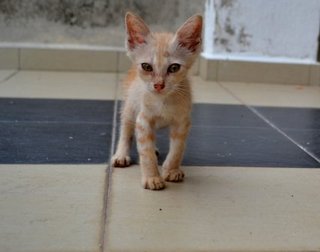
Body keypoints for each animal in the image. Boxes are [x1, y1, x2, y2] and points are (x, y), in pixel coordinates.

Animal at [112, 11, 202, 189]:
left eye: (174, 67)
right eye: (147, 66)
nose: (159, 85)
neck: (163, 101)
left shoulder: (182, 122)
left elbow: (178, 148)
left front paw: (172, 170)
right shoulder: (143, 120)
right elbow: (145, 151)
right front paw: (152, 177)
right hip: (129, 107)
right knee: (126, 130)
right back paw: (121, 154)